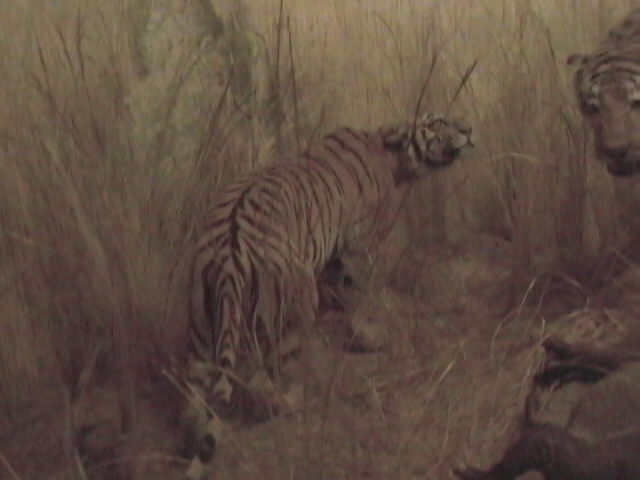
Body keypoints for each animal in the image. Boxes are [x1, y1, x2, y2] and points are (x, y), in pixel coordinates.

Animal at [182, 112, 473, 479]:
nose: (469, 129)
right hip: (295, 305)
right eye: (437, 122)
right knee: (265, 378)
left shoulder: (337, 252)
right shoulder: (360, 245)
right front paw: (371, 337)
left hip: (201, 328)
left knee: (193, 399)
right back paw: (292, 402)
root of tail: (230, 253)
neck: (392, 154)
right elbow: (360, 292)